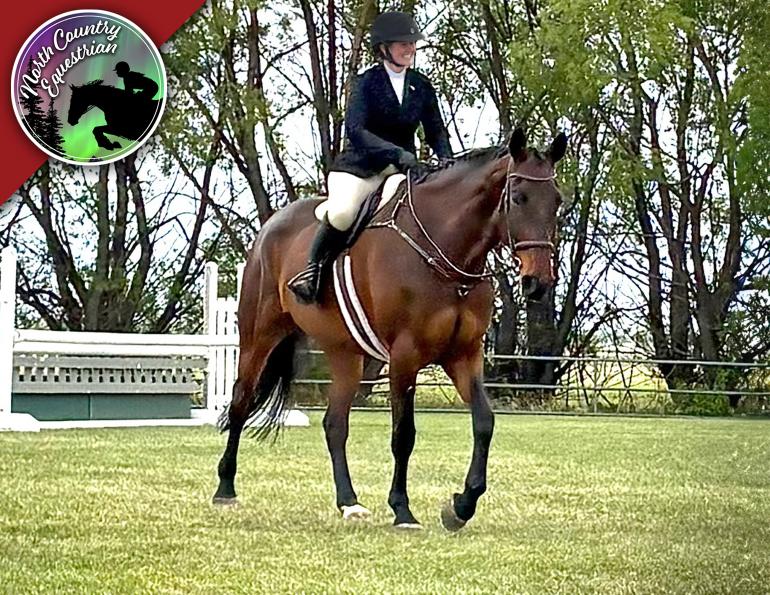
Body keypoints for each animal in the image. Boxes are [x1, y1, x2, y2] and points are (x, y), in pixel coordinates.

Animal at [213, 128, 566, 531]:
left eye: (556, 200)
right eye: (519, 198)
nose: (538, 283)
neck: (446, 250)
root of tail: (271, 226)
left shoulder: (464, 354)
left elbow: (484, 423)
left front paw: (461, 506)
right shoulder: (404, 356)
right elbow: (404, 435)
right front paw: (403, 510)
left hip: (345, 353)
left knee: (335, 425)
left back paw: (349, 503)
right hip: (259, 337)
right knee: (241, 403)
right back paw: (225, 489)